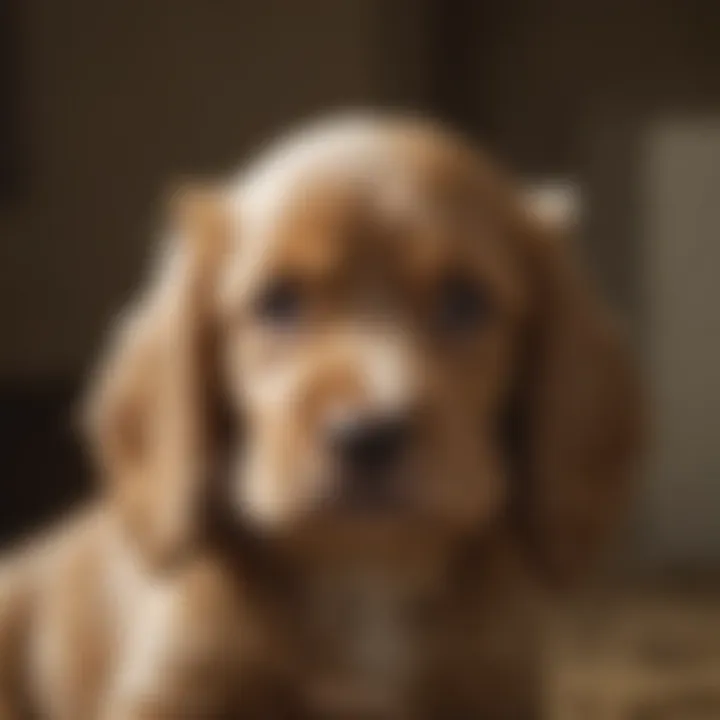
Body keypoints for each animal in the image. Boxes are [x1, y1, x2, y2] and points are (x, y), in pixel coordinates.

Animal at [0, 114, 640, 720]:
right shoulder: (172, 686)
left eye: (464, 301)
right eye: (278, 300)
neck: (362, 574)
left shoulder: (494, 687)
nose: (368, 436)